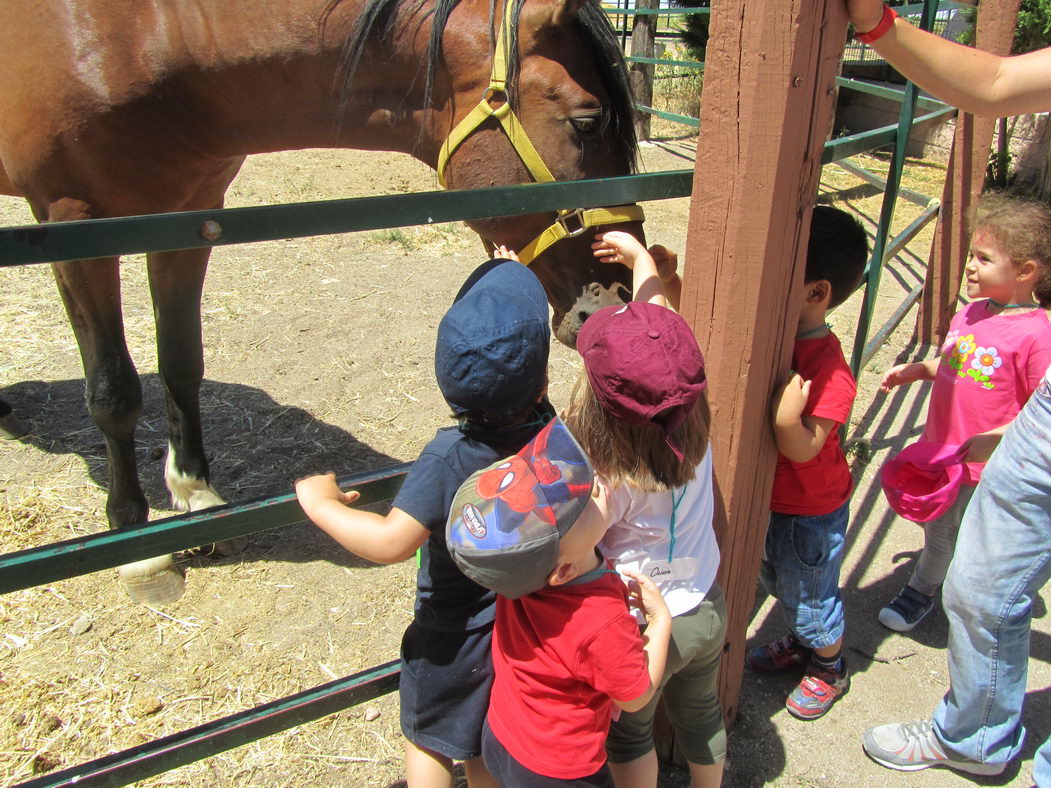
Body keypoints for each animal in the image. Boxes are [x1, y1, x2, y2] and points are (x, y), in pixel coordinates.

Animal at [0, 0, 639, 596]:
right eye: (587, 123)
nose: (616, 299)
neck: (147, 36)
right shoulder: (72, 225)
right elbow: (113, 393)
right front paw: (141, 551)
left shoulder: (188, 217)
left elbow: (181, 363)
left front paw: (197, 497)